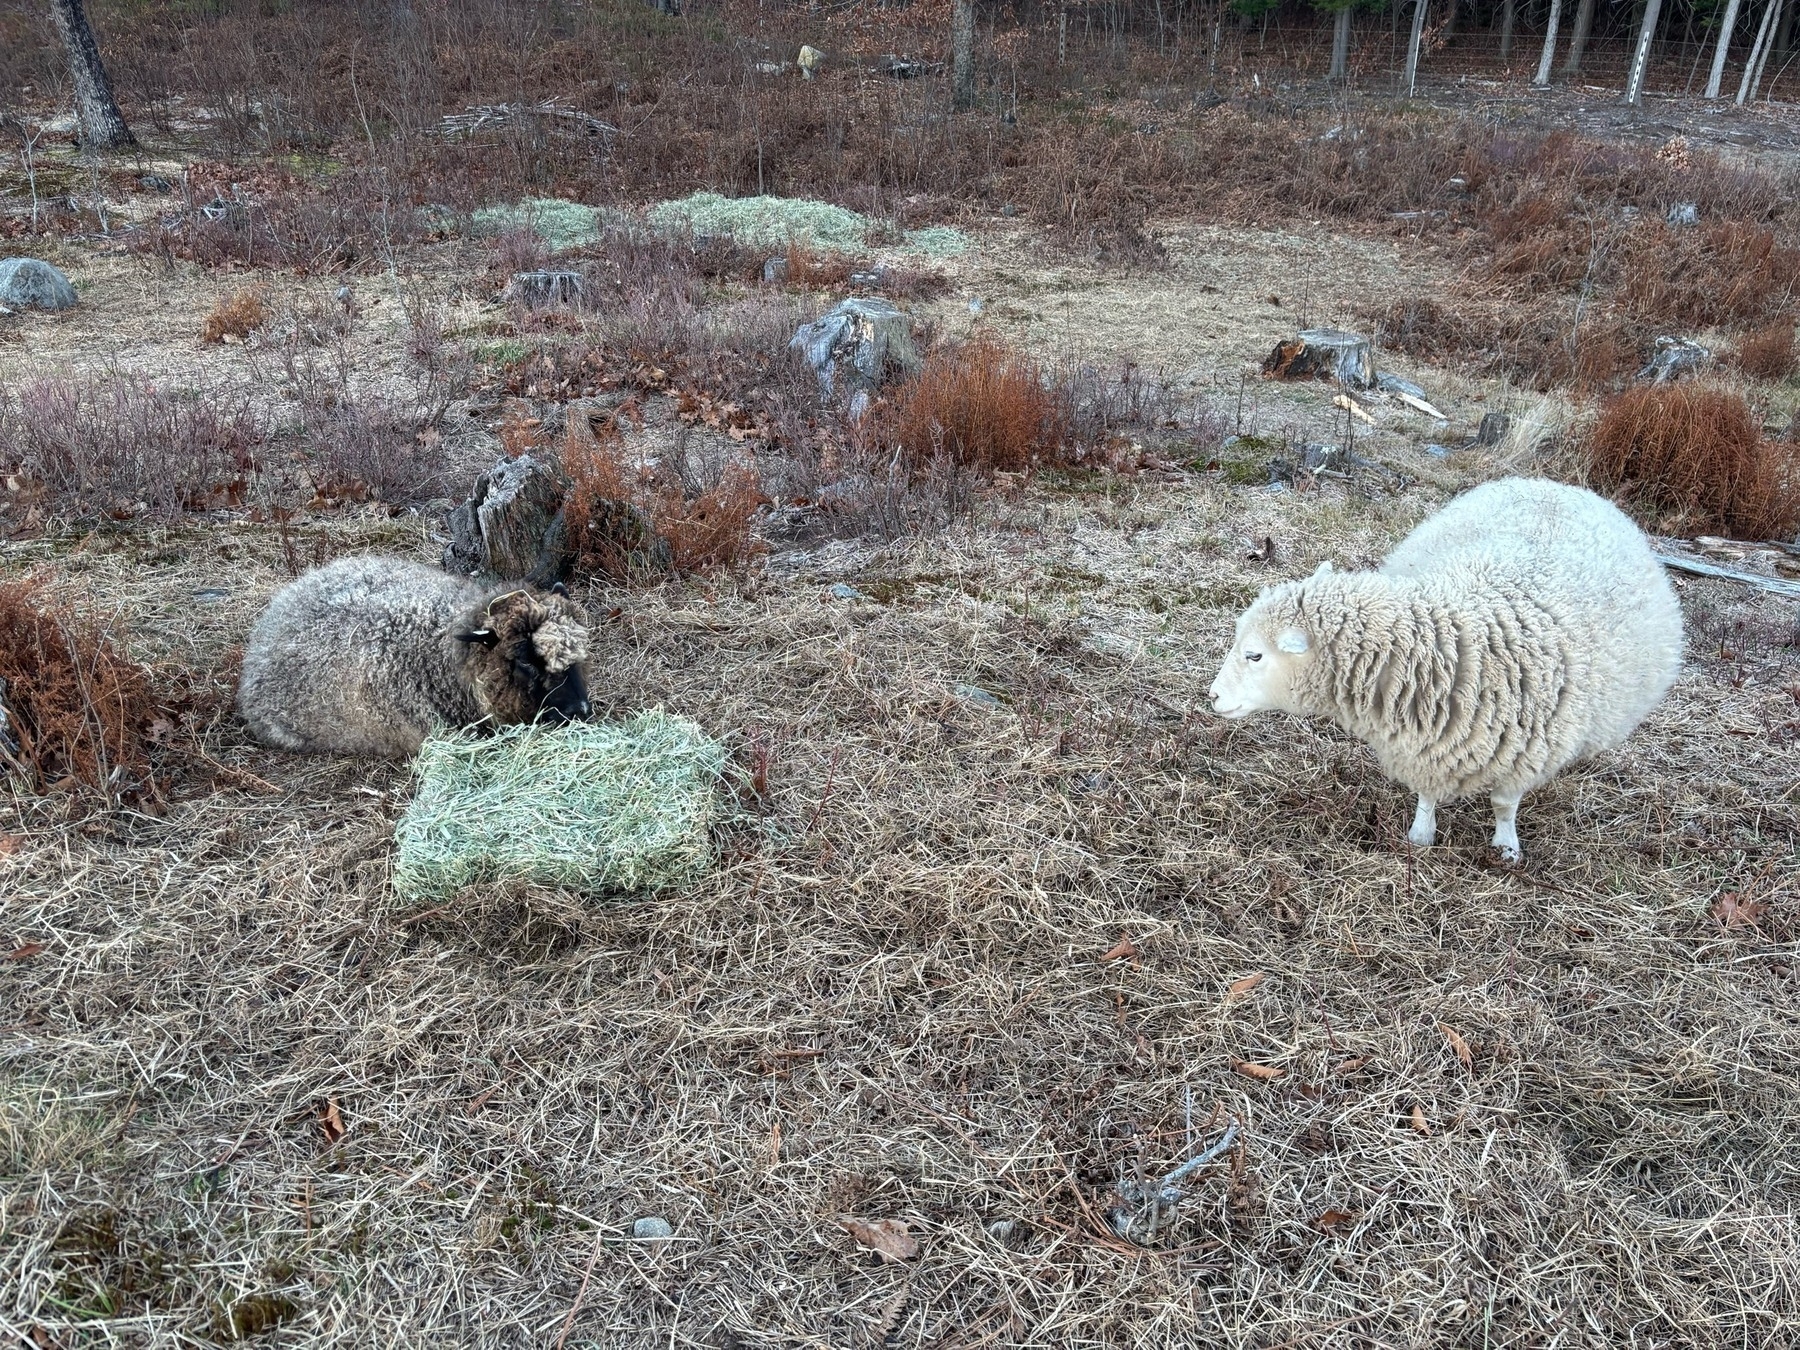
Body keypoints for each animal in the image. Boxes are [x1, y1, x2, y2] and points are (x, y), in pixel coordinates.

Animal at [1209, 482, 1684, 860]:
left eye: (1255, 655)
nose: (1212, 696)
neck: (1449, 648)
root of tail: (1561, 485)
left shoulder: (1525, 755)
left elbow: (1504, 805)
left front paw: (1507, 848)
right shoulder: (1423, 742)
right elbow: (1426, 793)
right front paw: (1421, 835)